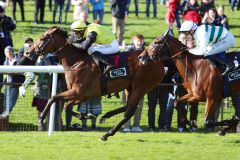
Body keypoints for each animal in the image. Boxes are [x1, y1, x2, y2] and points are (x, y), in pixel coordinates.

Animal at [20, 26, 165, 141]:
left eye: (43, 37)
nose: (28, 52)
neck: (76, 62)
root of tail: (158, 62)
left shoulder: (77, 92)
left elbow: (53, 98)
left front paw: (41, 119)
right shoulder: (81, 95)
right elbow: (67, 106)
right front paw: (85, 115)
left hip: (140, 87)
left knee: (129, 112)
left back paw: (106, 134)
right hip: (130, 88)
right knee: (127, 107)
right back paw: (105, 117)